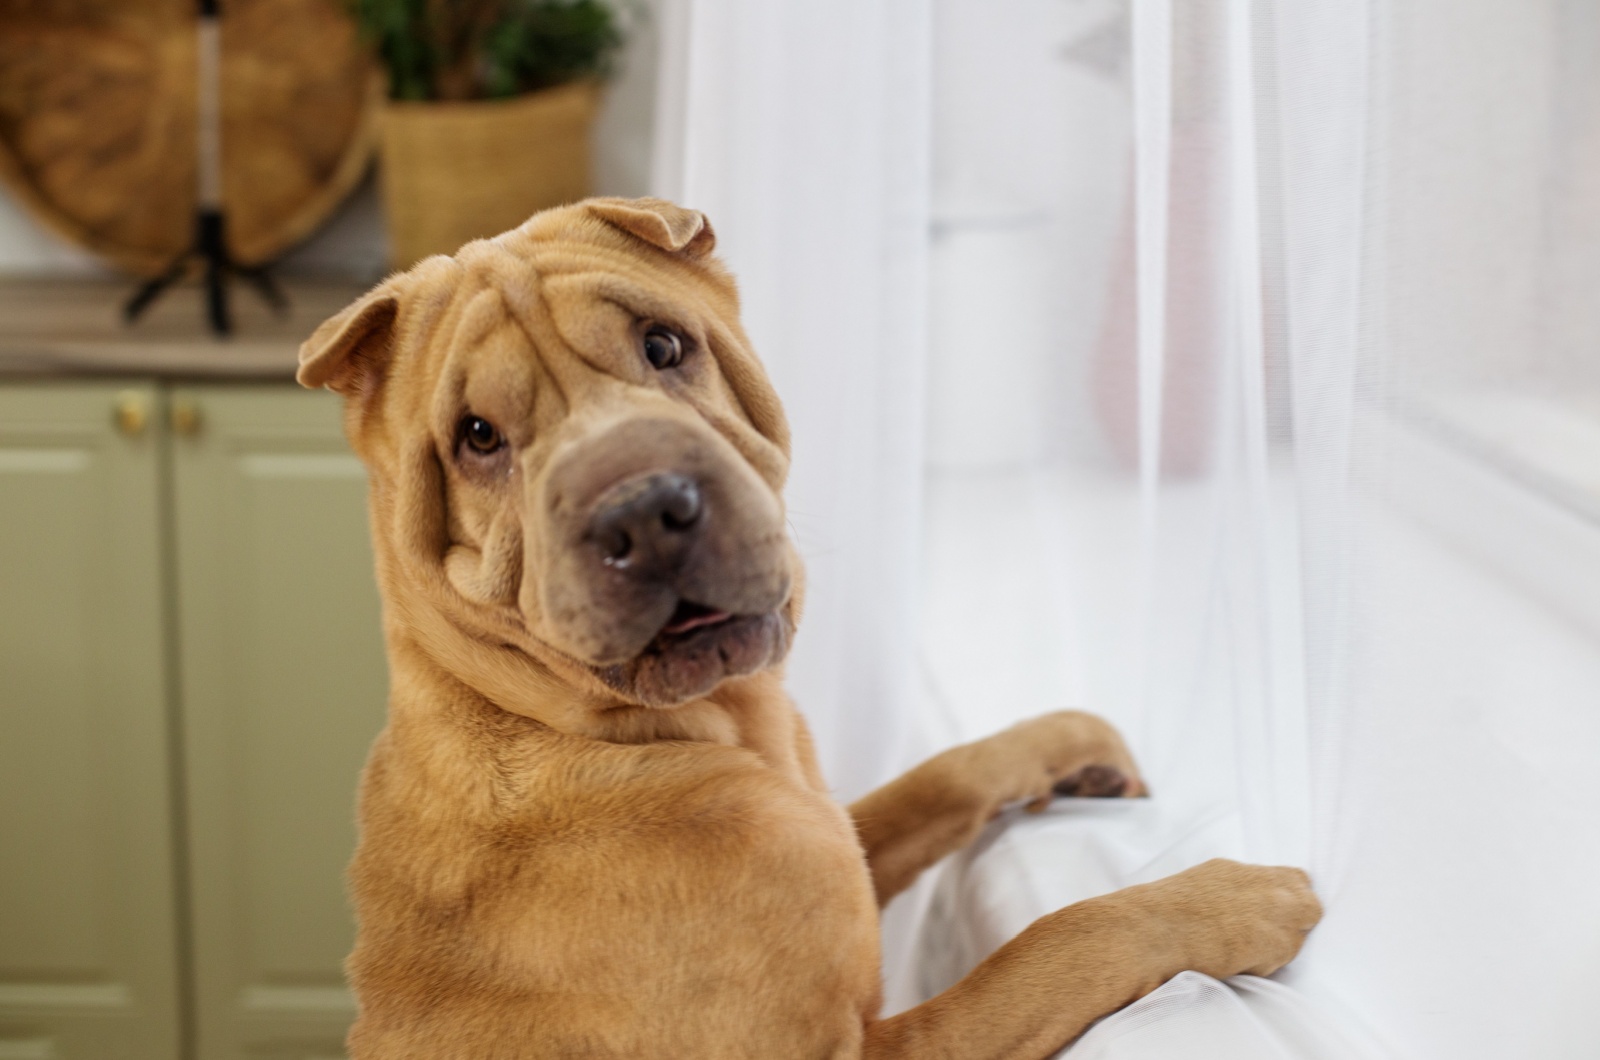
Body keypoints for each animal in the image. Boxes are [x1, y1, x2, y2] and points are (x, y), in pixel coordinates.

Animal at [294, 199, 1318, 1060]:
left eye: (663, 345)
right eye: (478, 437)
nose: (645, 511)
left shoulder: (840, 840)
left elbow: (939, 780)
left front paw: (1071, 743)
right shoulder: (864, 1046)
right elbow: (1058, 941)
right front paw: (1237, 897)